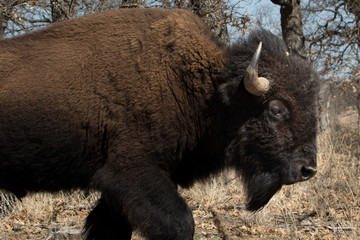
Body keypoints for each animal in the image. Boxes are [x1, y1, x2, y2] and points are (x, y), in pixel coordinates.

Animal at [1, 7, 320, 240]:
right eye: (276, 109)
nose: (308, 170)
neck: (208, 92)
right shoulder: (131, 172)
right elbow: (180, 222)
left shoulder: (119, 192)